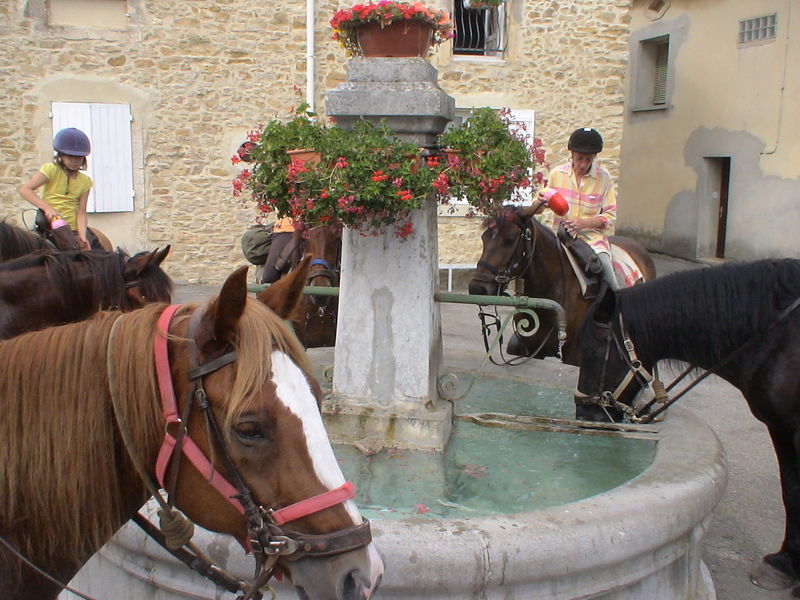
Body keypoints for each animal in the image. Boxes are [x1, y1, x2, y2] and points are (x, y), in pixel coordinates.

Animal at [572, 258, 800, 596]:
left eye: (591, 349)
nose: (586, 415)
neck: (777, 339)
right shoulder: (783, 428)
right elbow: (791, 490)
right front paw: (785, 564)